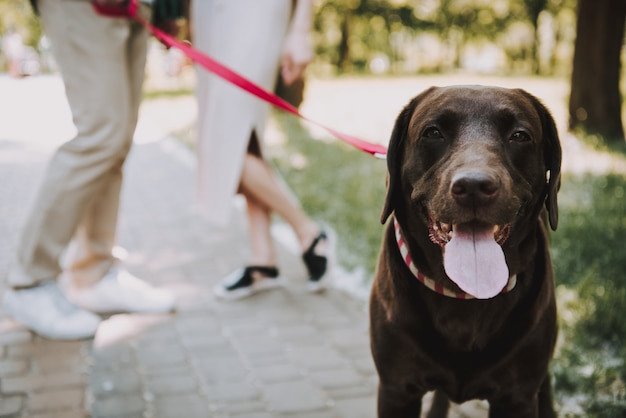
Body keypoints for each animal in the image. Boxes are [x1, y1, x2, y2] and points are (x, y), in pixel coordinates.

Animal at [368, 85, 560, 418]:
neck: (465, 297)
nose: (474, 186)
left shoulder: (518, 396)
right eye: (433, 132)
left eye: (519, 136)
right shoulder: (397, 389)